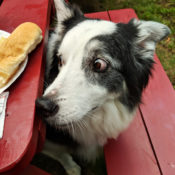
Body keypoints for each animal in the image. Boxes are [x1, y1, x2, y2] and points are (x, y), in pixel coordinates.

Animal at [36, 0, 171, 161]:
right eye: (61, 60)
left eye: (98, 64)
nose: (42, 106)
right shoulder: (49, 143)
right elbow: (62, 155)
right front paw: (72, 165)